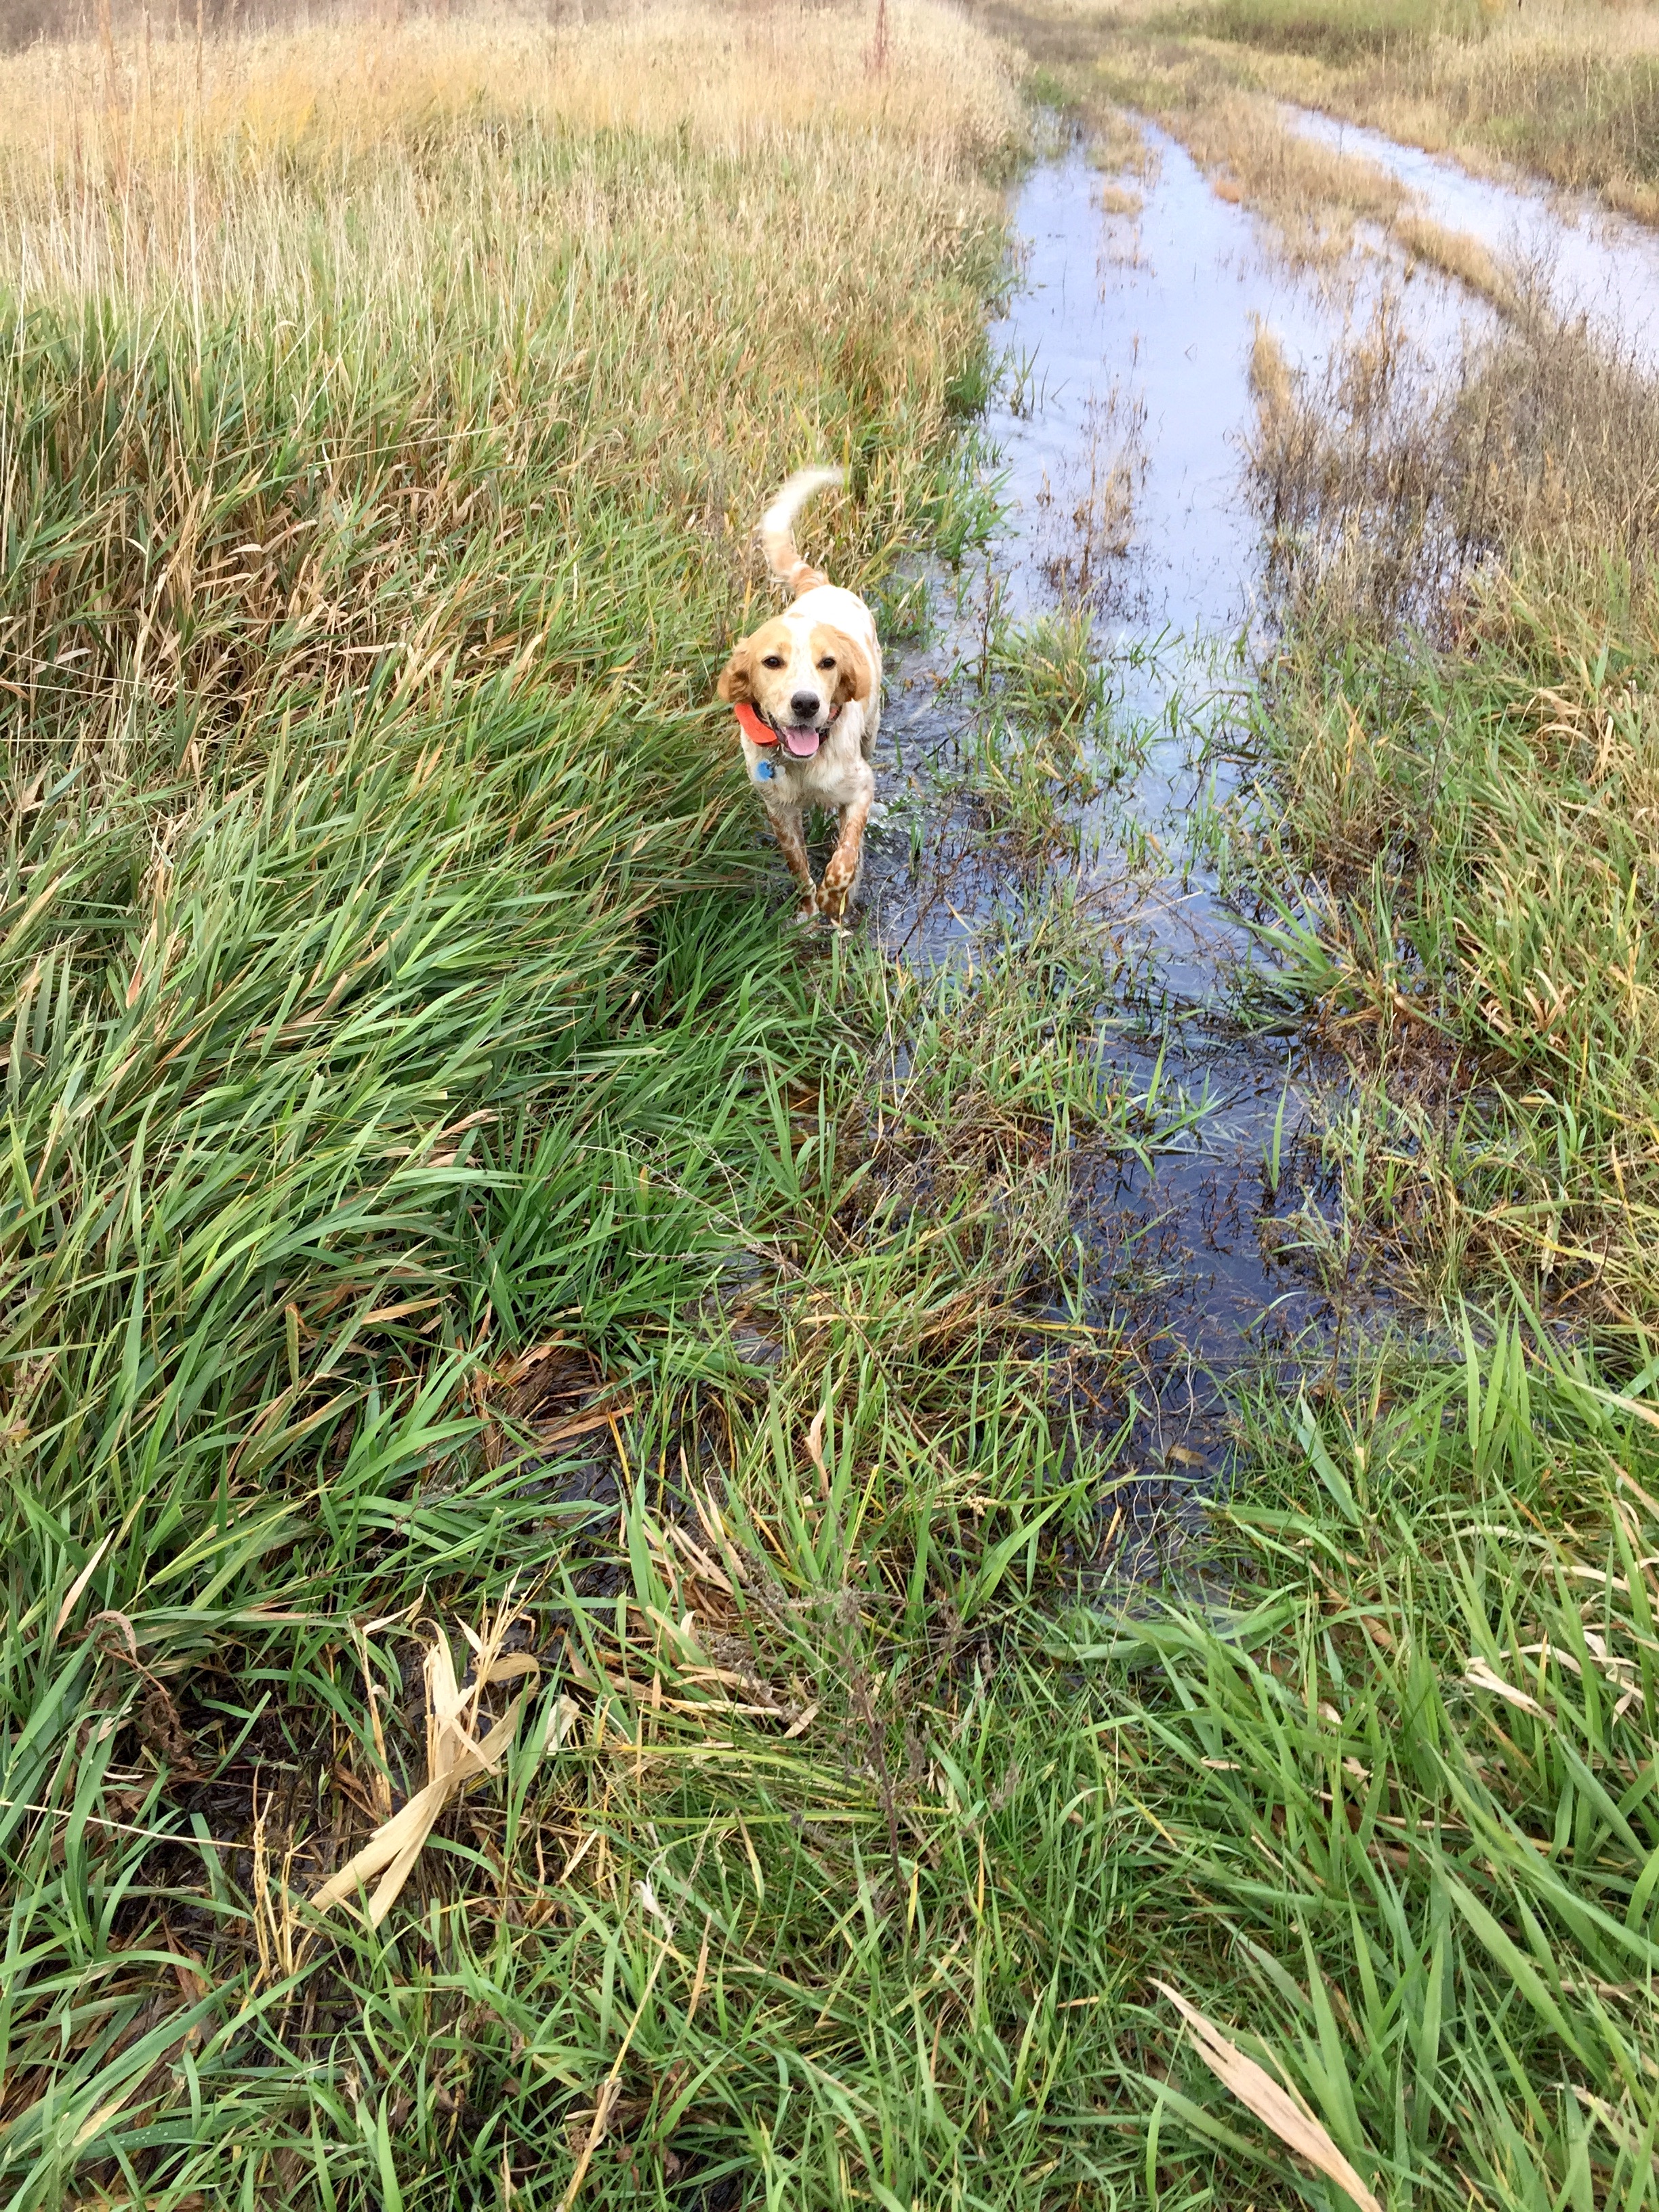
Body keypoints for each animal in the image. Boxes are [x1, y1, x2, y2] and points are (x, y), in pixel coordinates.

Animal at [721, 466, 889, 924]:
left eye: (828, 663)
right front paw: (809, 910)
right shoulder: (778, 808)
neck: (803, 764)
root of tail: (821, 585)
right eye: (772, 662)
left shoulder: (861, 789)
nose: (806, 704)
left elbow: (844, 857)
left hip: (872, 730)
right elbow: (797, 864)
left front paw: (835, 902)